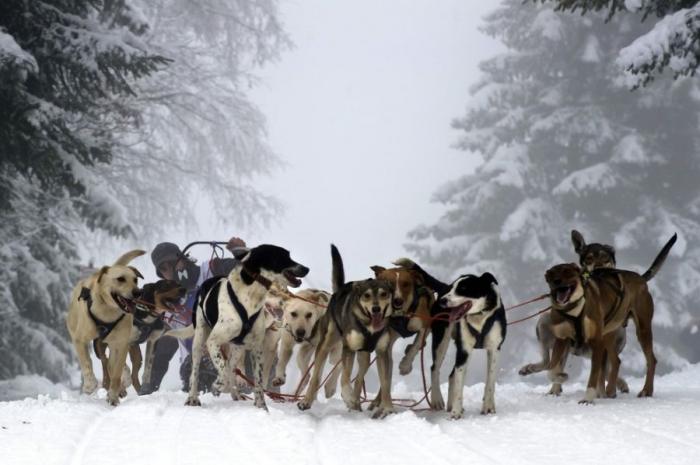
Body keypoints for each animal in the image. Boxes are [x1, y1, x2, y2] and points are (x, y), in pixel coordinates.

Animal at [65, 248, 145, 404]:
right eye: (120, 279)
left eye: (135, 280)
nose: (138, 292)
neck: (107, 311)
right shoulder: (79, 340)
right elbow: (86, 363)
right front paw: (90, 385)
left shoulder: (120, 343)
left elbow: (116, 373)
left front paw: (113, 396)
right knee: (105, 362)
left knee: (114, 366)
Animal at [185, 245, 308, 408]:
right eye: (284, 256)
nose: (306, 269)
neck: (250, 297)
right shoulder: (213, 341)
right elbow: (222, 372)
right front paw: (217, 385)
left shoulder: (257, 348)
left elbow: (258, 382)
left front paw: (261, 407)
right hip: (200, 340)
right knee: (196, 371)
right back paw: (193, 398)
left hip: (238, 348)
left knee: (231, 367)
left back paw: (235, 393)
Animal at [394, 258, 504, 416]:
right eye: (453, 288)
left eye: (463, 288)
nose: (443, 301)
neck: (479, 318)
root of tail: (442, 288)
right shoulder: (464, 350)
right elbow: (458, 383)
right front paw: (456, 413)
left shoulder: (494, 349)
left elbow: (490, 381)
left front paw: (488, 406)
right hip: (442, 340)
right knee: (435, 368)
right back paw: (437, 399)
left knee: (452, 375)